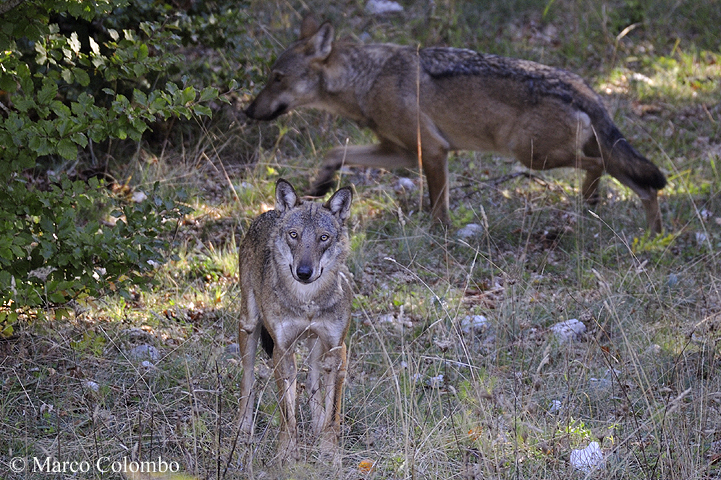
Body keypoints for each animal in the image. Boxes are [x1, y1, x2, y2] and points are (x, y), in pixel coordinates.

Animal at [238, 178, 352, 464]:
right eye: (294, 235)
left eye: (323, 237)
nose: (303, 272)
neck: (307, 301)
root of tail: (270, 211)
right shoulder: (282, 350)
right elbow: (287, 412)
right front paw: (287, 454)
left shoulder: (338, 350)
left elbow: (333, 413)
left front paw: (329, 453)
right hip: (249, 325)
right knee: (248, 380)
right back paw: (243, 429)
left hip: (316, 345)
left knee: (312, 384)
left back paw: (316, 426)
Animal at [246, 15, 664, 232]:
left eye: (277, 78)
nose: (249, 111)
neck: (368, 80)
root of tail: (584, 88)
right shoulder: (400, 152)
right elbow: (336, 151)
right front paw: (322, 184)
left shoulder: (432, 150)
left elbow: (437, 208)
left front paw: (440, 236)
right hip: (560, 157)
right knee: (645, 187)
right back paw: (650, 237)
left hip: (533, 158)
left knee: (600, 168)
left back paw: (591, 205)